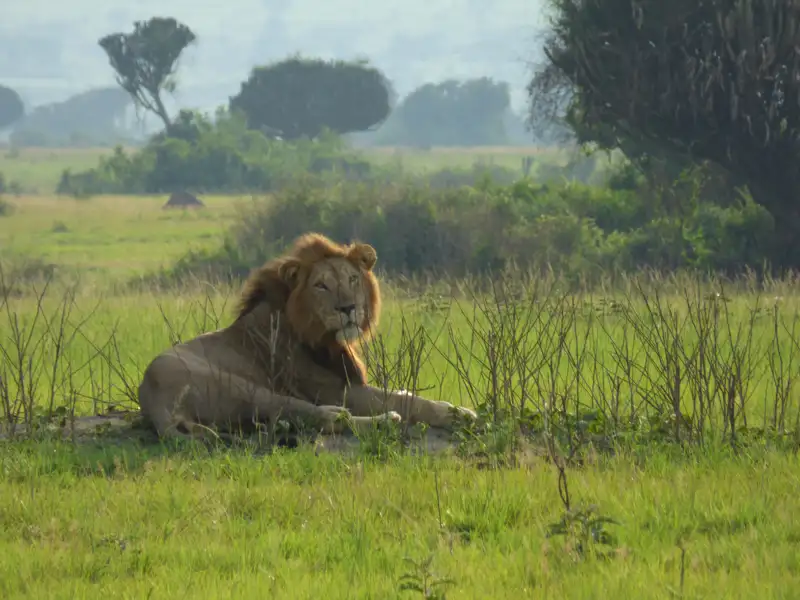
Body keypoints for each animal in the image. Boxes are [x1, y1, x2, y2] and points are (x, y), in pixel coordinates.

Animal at [137, 232, 478, 441]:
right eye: (321, 285)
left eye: (352, 279)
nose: (348, 308)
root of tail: (154, 403)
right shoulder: (335, 389)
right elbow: (405, 400)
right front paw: (459, 414)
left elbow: (403, 391)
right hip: (242, 386)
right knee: (322, 417)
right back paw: (383, 420)